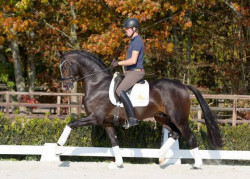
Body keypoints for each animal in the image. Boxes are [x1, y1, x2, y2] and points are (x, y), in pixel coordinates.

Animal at [56, 50, 223, 169]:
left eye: (65, 66)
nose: (65, 86)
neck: (97, 84)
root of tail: (182, 85)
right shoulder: (106, 122)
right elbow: (114, 141)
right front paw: (118, 163)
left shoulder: (95, 118)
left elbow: (70, 124)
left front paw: (58, 148)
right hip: (162, 117)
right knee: (175, 133)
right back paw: (161, 157)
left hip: (179, 119)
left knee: (190, 137)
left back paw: (197, 165)